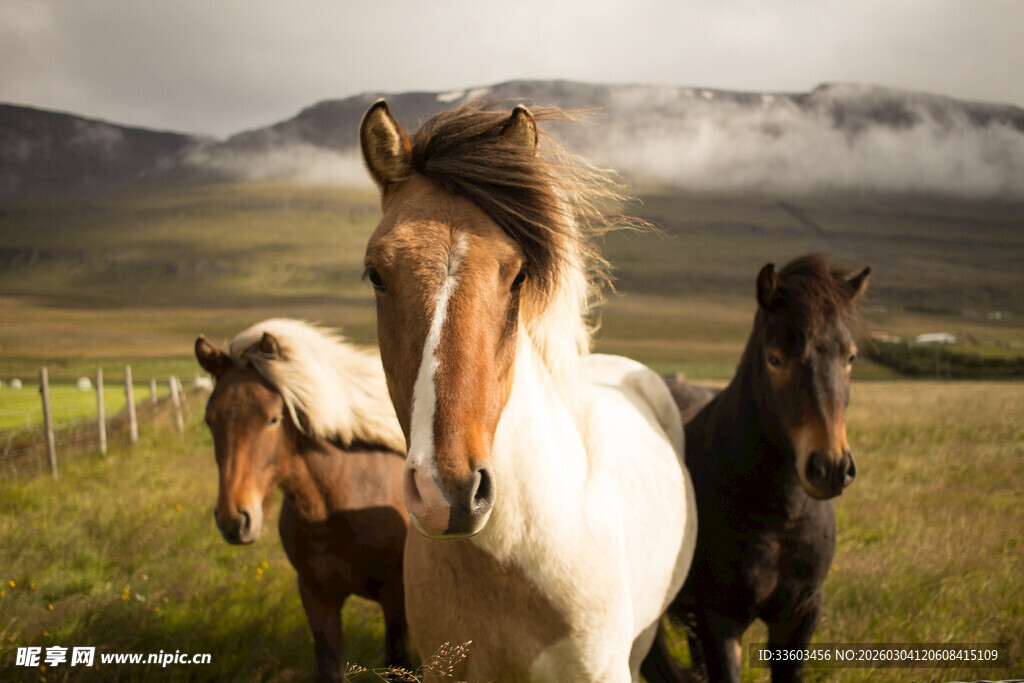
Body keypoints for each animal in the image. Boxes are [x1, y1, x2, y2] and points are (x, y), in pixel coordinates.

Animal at [194, 318, 412, 681]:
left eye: (273, 418)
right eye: (210, 420)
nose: (233, 520)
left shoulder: (396, 597)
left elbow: (400, 663)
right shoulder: (316, 597)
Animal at [643, 254, 870, 683]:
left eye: (849, 357)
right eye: (775, 358)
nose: (830, 467)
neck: (779, 517)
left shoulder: (800, 615)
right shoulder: (719, 620)